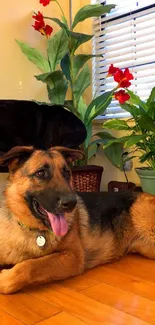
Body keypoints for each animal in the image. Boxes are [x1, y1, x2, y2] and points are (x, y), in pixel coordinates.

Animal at [0, 145, 154, 294]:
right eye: (40, 173)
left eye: (67, 173)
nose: (72, 203)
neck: (35, 231)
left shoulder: (73, 257)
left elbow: (31, 266)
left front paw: (4, 278)